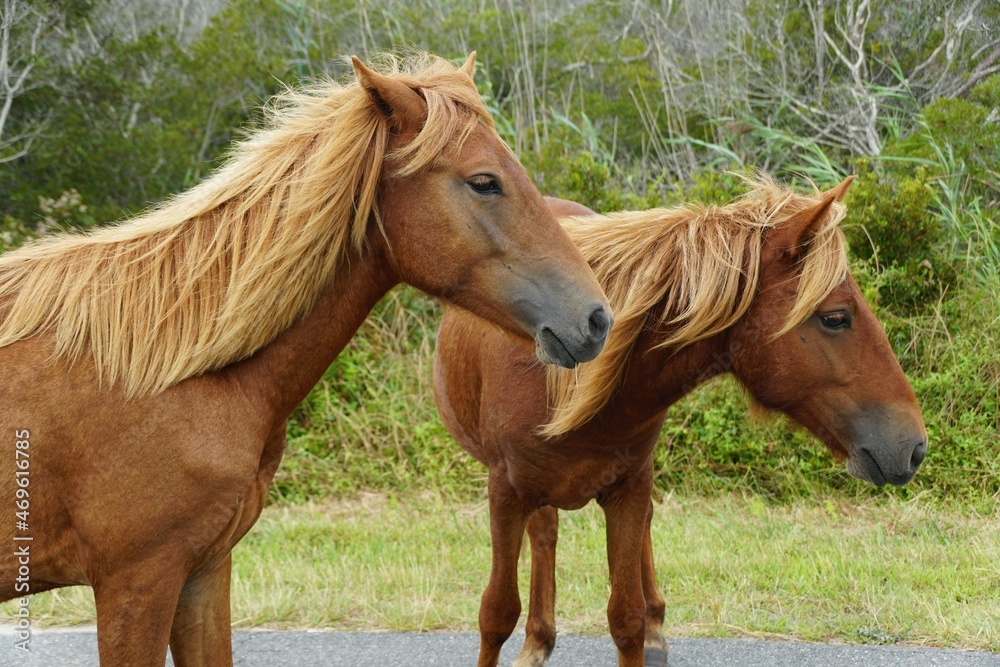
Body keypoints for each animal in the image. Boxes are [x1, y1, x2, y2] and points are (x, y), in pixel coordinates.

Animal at [433, 176, 927, 667]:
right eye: (836, 318)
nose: (916, 446)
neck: (561, 375)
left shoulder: (628, 490)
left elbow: (626, 617)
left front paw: (646, 628)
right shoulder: (505, 493)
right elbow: (496, 614)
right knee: (545, 535)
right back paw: (538, 640)